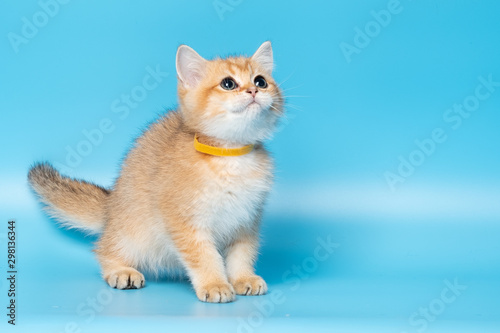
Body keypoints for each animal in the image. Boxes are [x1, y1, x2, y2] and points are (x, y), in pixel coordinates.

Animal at [27, 40, 284, 300]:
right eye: (228, 84)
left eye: (261, 81)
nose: (253, 91)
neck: (231, 157)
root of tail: (111, 206)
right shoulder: (185, 222)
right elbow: (204, 256)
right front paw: (215, 284)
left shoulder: (246, 220)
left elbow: (242, 253)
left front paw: (243, 278)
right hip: (133, 230)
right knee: (105, 249)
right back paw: (121, 270)